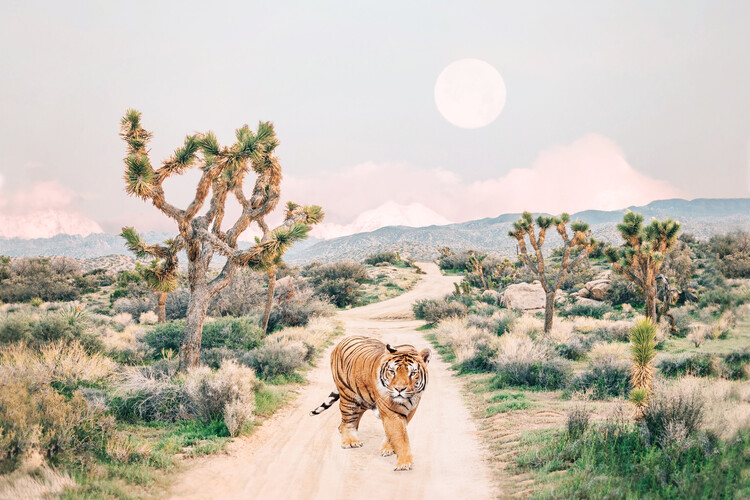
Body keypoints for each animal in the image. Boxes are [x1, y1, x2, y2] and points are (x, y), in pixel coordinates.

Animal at [309, 335, 431, 471]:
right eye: (392, 371)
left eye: (413, 373)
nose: (399, 389)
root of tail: (343, 340)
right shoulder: (391, 412)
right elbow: (400, 436)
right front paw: (404, 463)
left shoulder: (411, 410)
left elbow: (396, 433)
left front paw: (388, 449)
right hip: (348, 397)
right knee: (347, 421)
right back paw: (351, 441)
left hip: (362, 400)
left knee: (346, 423)